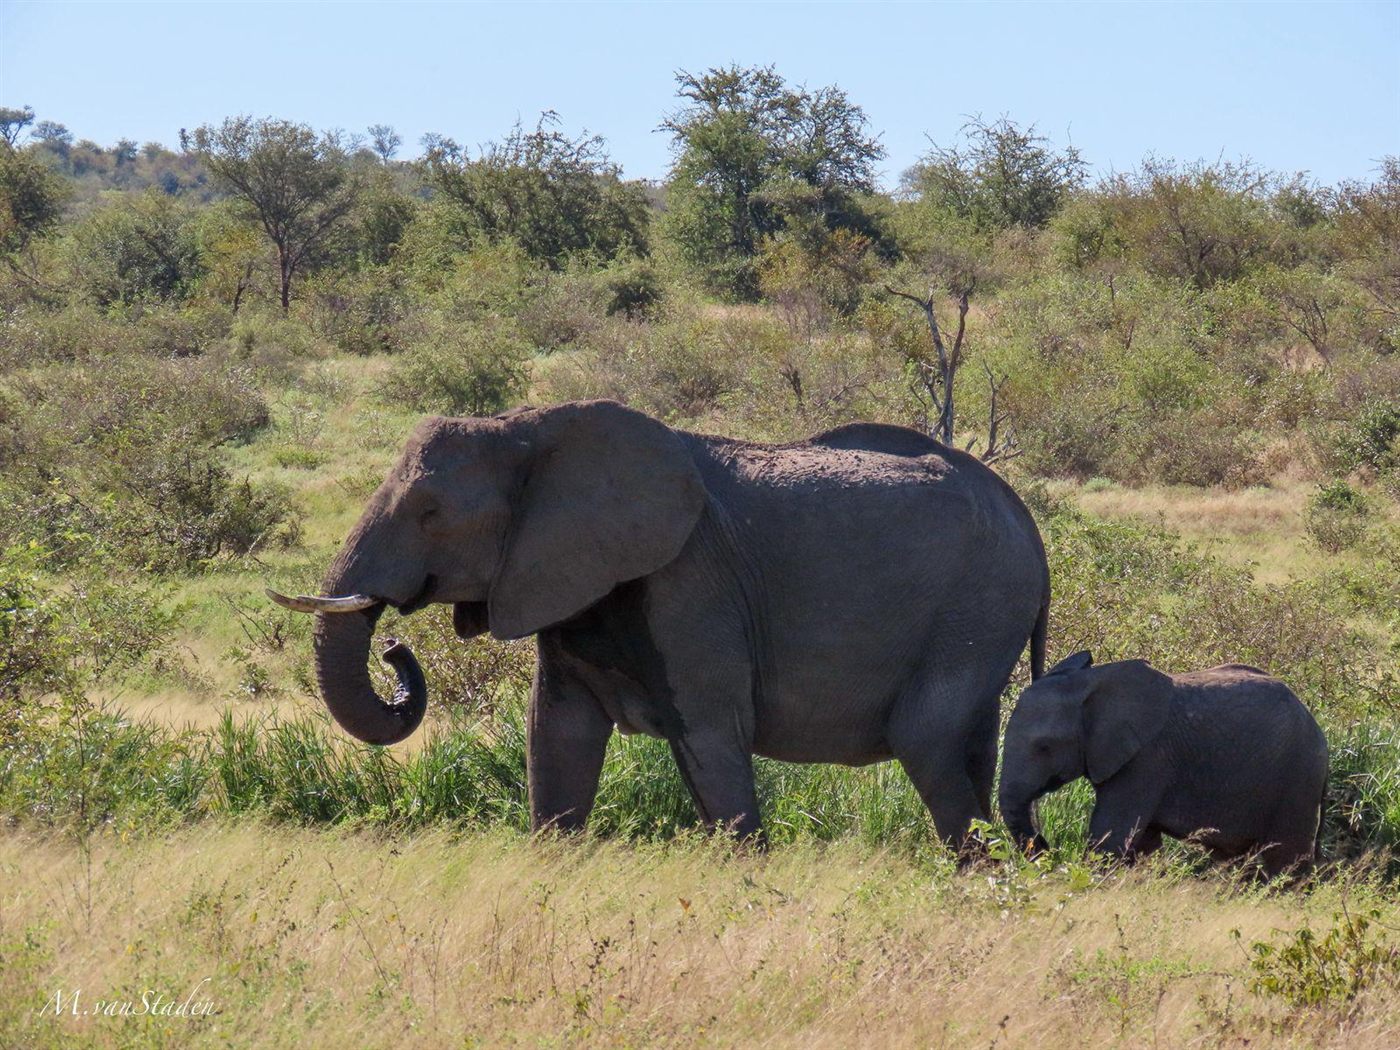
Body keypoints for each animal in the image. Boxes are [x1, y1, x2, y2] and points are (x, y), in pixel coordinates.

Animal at [268, 399, 1051, 847]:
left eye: (431, 512)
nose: (395, 649)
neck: (530, 429)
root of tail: (1031, 529)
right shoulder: (567, 578)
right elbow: (556, 737)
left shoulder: (690, 585)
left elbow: (709, 737)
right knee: (971, 754)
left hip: (976, 607)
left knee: (928, 742)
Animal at [998, 650, 1328, 876]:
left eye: (1044, 747)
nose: (1046, 846)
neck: (1092, 684)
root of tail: (1317, 727)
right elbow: (1142, 842)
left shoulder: (1147, 758)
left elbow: (1111, 835)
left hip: (1299, 775)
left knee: (1287, 859)